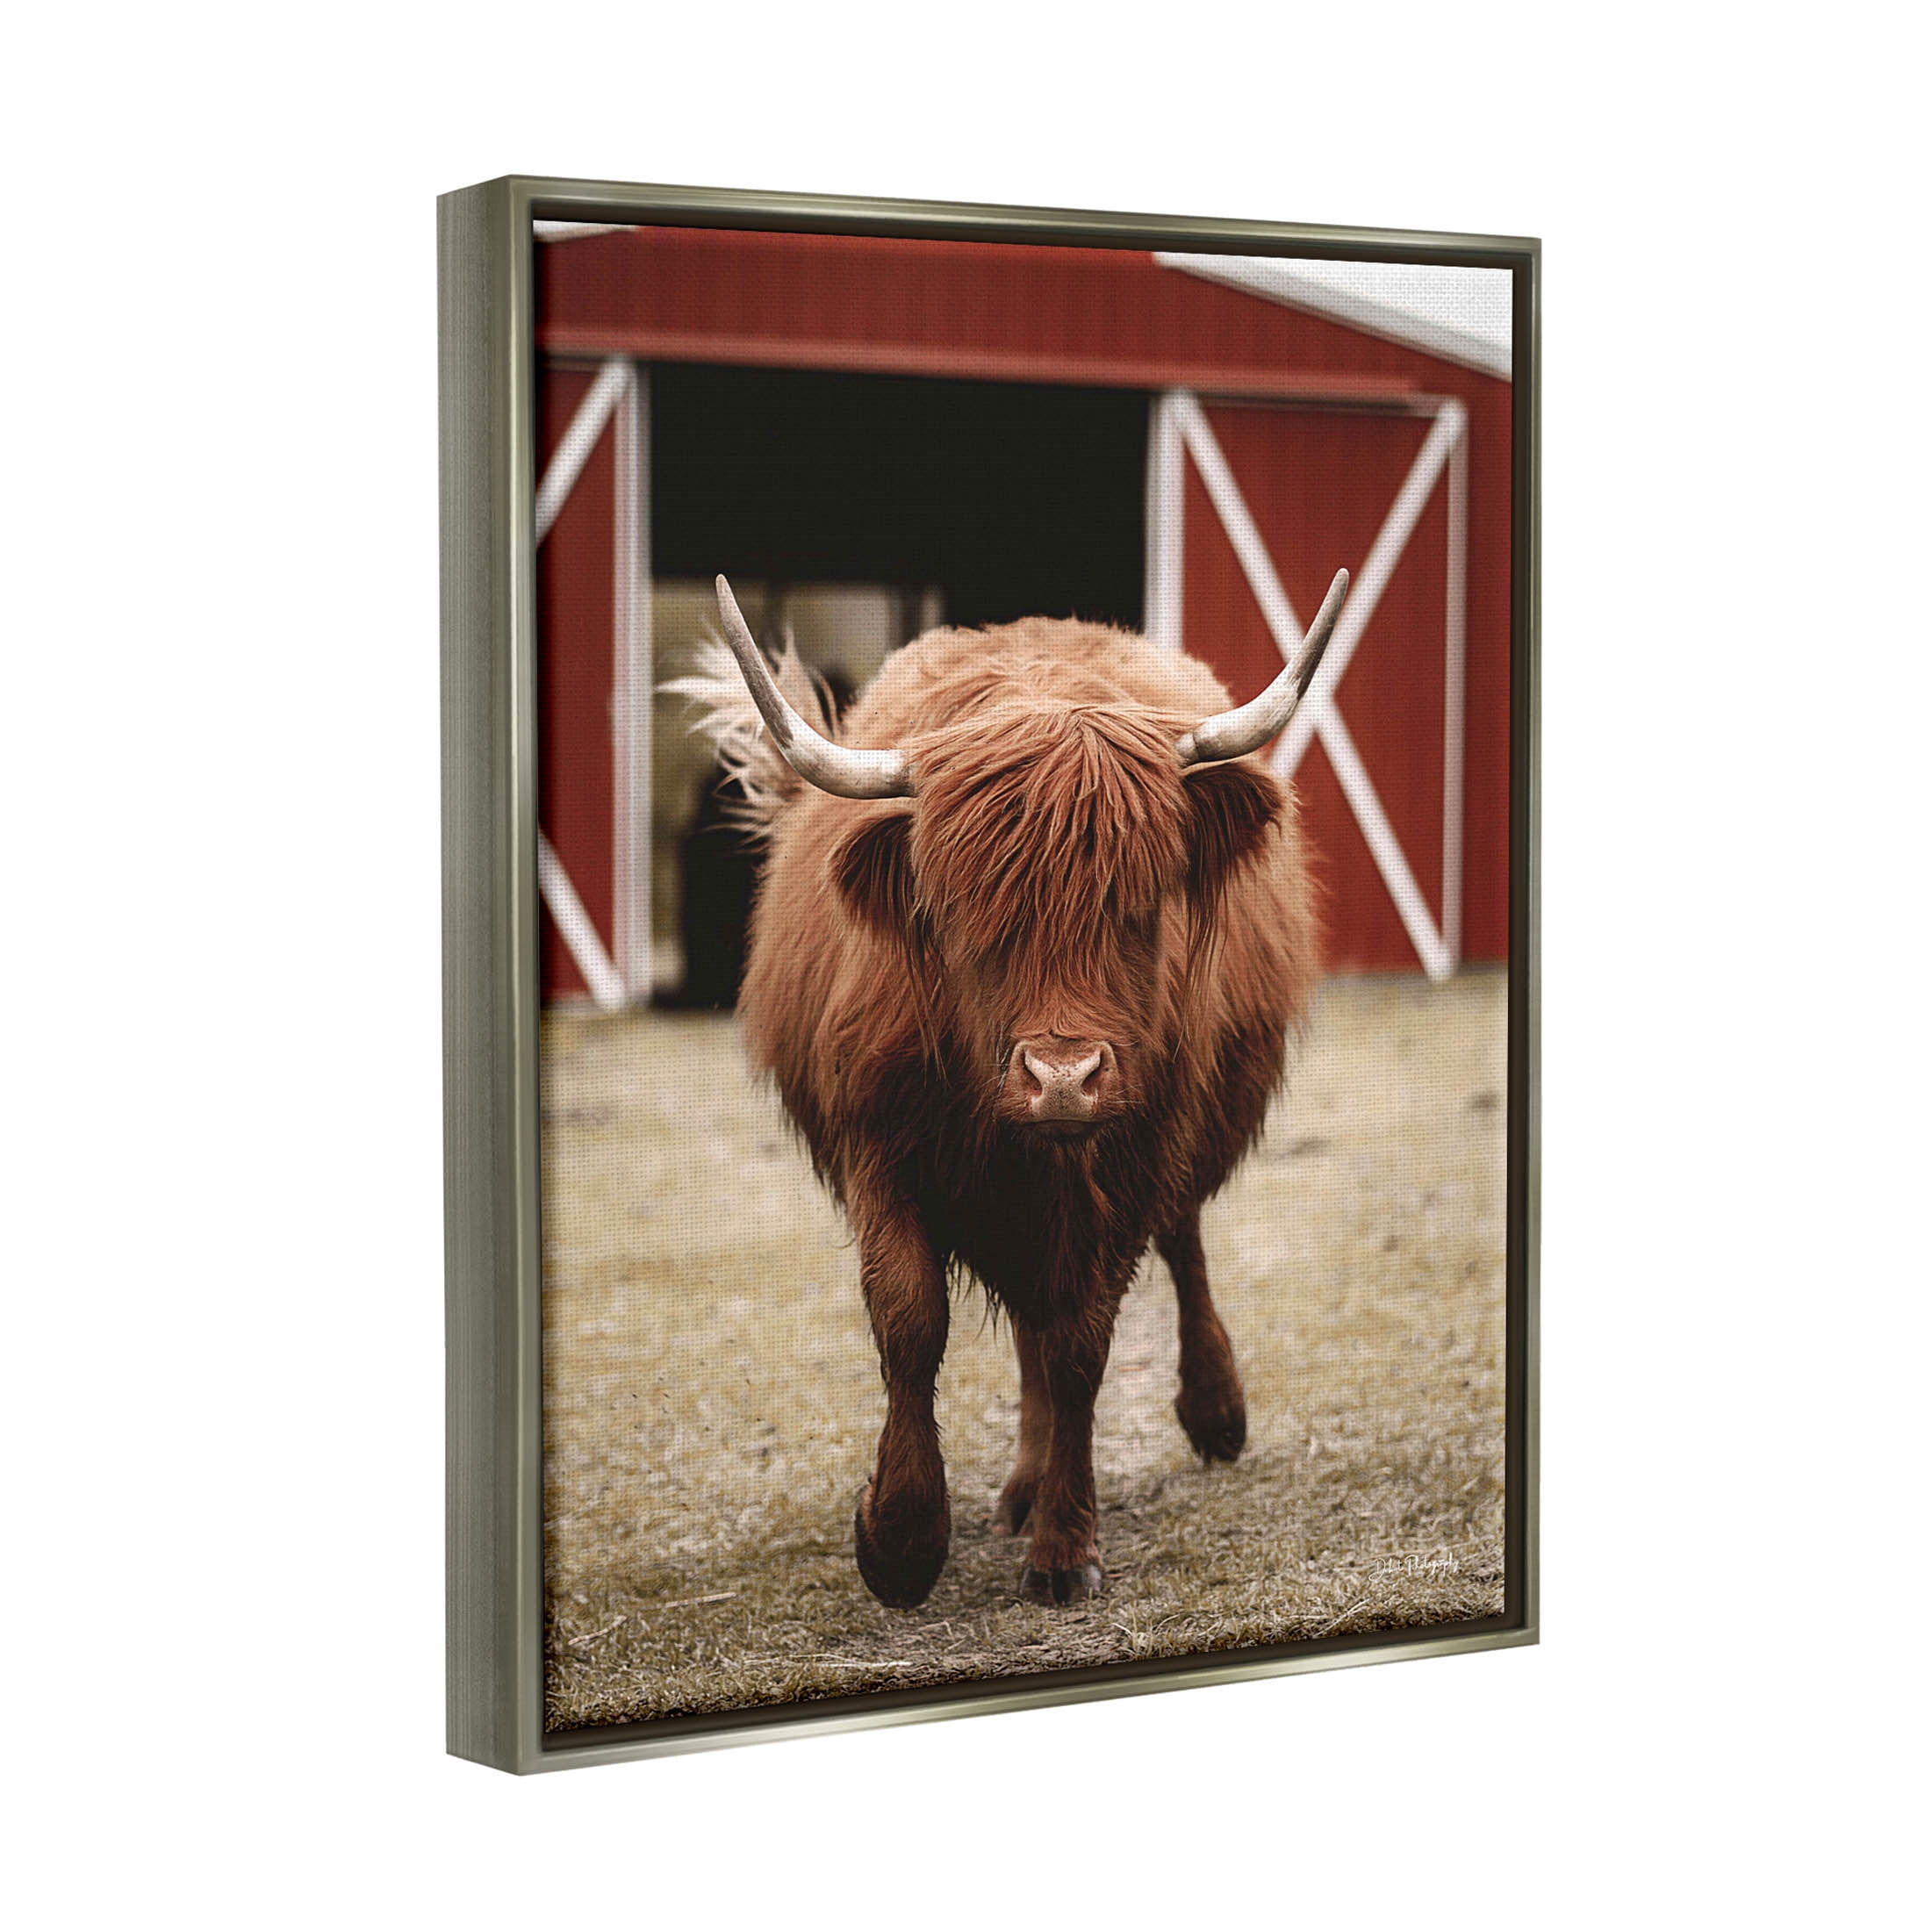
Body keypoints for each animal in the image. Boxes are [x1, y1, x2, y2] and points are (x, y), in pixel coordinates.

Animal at [676, 568, 1346, 1608]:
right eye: (963, 912)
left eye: (1137, 904)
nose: (1061, 1078)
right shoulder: (878, 1141)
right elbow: (911, 1318)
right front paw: (900, 1541)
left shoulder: (1129, 1156)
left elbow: (1081, 1344)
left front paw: (1066, 1549)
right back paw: (1022, 1489)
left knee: (1178, 1244)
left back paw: (1210, 1414)